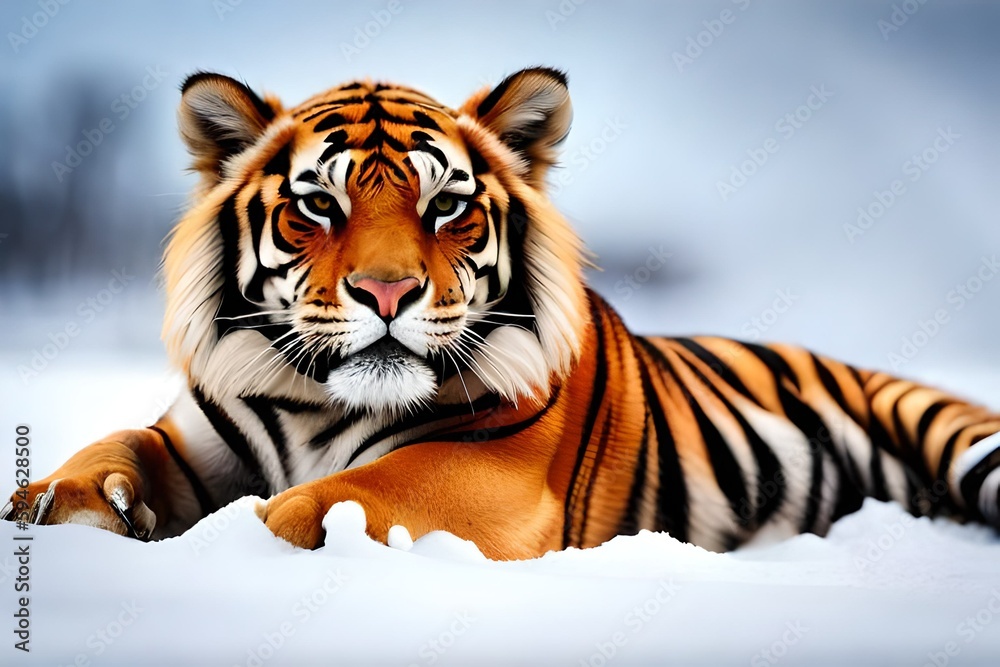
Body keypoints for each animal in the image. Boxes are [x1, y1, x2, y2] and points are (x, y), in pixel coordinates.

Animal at [5, 67, 1000, 561]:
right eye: (319, 205)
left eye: (446, 205)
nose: (388, 293)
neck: (313, 403)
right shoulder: (192, 436)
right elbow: (112, 446)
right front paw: (54, 501)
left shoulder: (496, 469)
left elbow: (360, 488)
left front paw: (273, 530)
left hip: (958, 436)